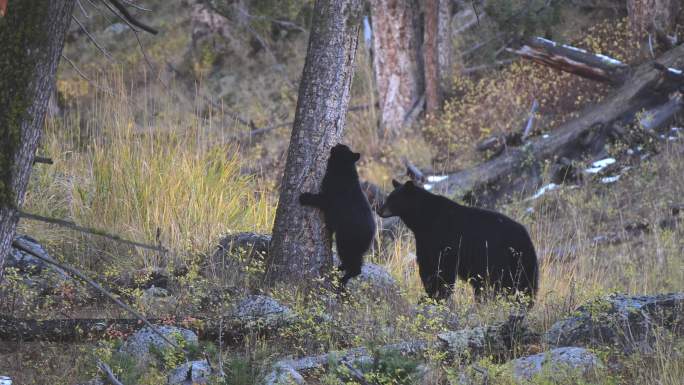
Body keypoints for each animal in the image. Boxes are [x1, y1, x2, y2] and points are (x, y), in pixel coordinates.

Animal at [298, 143, 376, 284]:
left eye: (341, 147)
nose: (336, 144)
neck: (343, 169)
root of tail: (371, 235)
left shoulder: (334, 189)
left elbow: (324, 199)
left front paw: (304, 197)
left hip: (348, 237)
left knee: (350, 258)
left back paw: (342, 279)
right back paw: (341, 268)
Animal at [376, 178, 536, 302]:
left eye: (393, 199)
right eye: (389, 197)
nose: (379, 210)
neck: (425, 219)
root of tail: (527, 238)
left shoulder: (444, 239)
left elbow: (442, 268)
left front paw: (438, 294)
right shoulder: (425, 240)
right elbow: (428, 265)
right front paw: (429, 294)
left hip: (507, 259)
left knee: (517, 283)